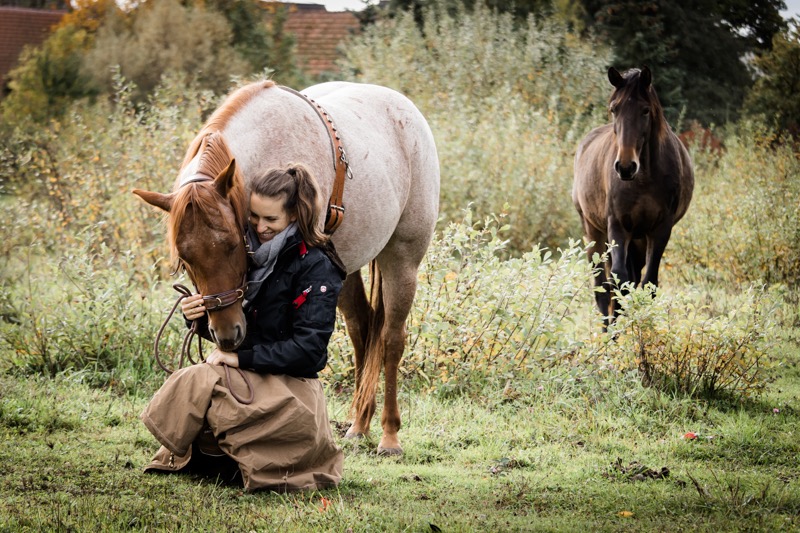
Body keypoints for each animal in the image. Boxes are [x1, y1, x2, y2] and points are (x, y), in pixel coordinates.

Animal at [134, 80, 440, 454]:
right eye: (185, 259)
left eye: (233, 243)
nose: (227, 335)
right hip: (347, 267)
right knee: (362, 329)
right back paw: (358, 425)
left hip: (402, 259)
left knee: (392, 339)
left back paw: (389, 435)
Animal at [576, 66, 692, 324]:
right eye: (614, 108)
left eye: (645, 110)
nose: (625, 167)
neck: (644, 178)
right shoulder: (618, 226)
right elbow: (619, 281)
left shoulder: (660, 229)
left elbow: (649, 283)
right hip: (593, 231)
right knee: (603, 289)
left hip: (638, 241)